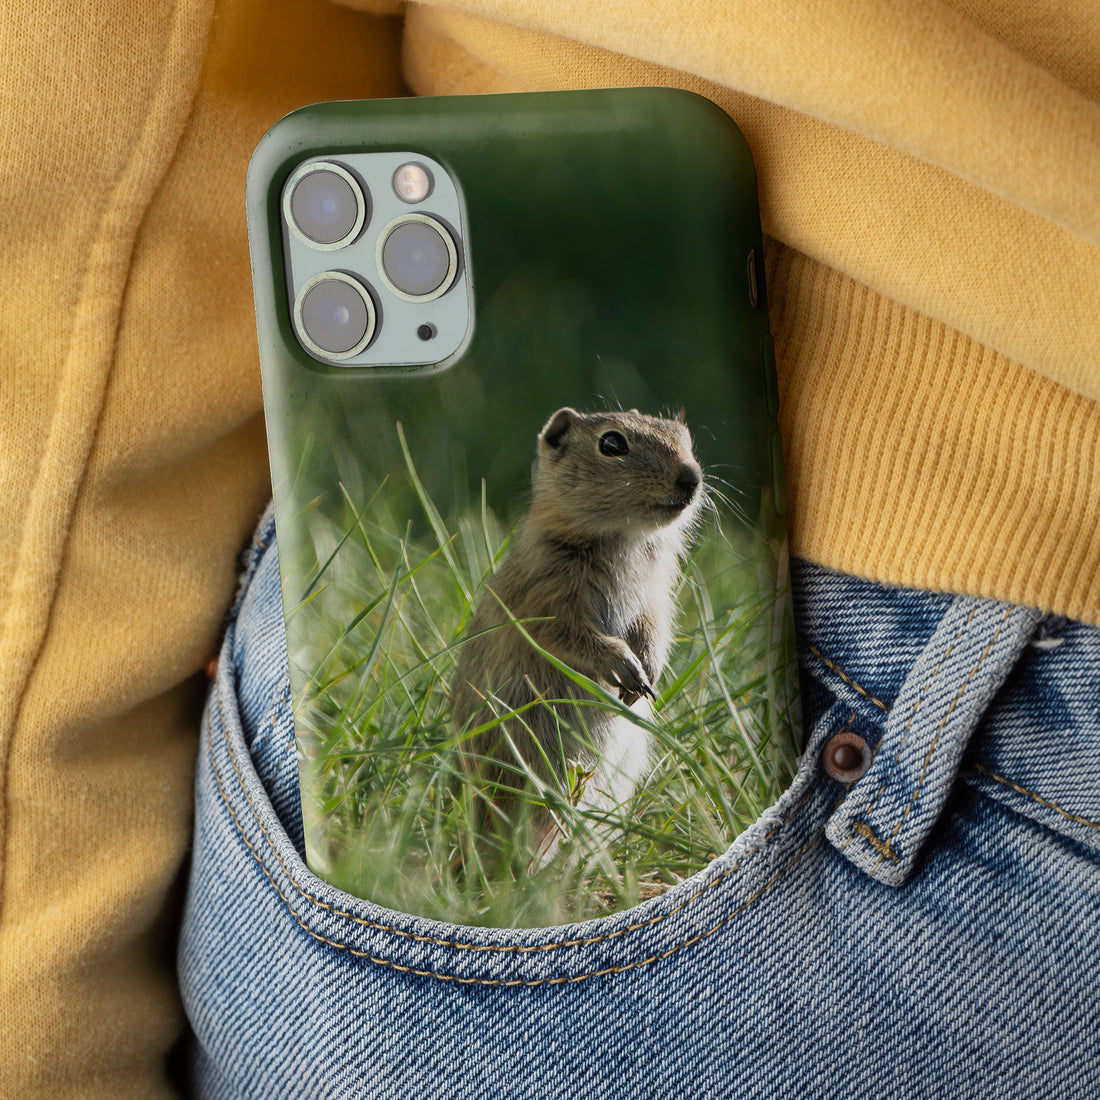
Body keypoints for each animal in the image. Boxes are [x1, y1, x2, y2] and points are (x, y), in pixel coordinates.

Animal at [452, 405, 704, 856]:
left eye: (685, 439)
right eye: (612, 443)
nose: (691, 478)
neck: (625, 538)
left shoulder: (657, 598)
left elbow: (655, 629)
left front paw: (647, 677)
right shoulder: (549, 601)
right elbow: (577, 637)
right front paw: (628, 670)